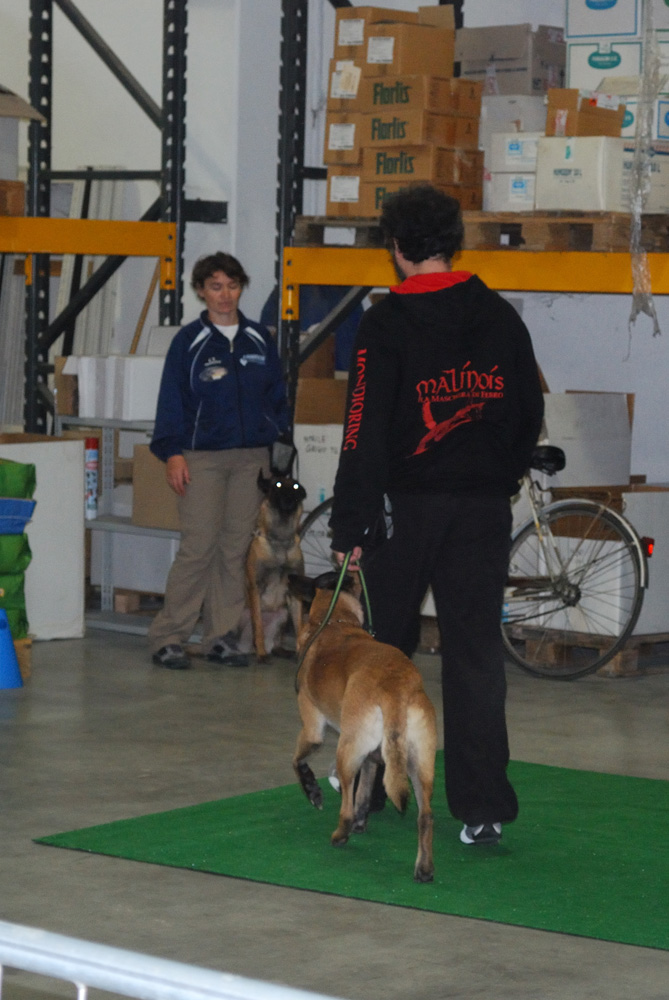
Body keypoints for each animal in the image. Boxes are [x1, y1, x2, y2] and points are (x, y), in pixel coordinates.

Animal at [241, 470, 307, 661]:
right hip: (244, 615)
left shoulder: (295, 590)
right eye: (277, 484)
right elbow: (258, 626)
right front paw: (261, 654)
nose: (289, 497)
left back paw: (281, 651)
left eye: (295, 486)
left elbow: (299, 627)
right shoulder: (255, 587)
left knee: (277, 641)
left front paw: (301, 652)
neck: (280, 541)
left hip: (283, 614)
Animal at [289, 571, 438, 883]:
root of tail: (396, 686)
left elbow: (298, 761)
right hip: (419, 763)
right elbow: (364, 794)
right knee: (425, 816)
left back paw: (339, 836)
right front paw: (362, 821)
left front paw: (313, 791)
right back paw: (424, 868)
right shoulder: (371, 759)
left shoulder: (312, 730)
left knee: (344, 807)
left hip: (346, 750)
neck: (335, 621)